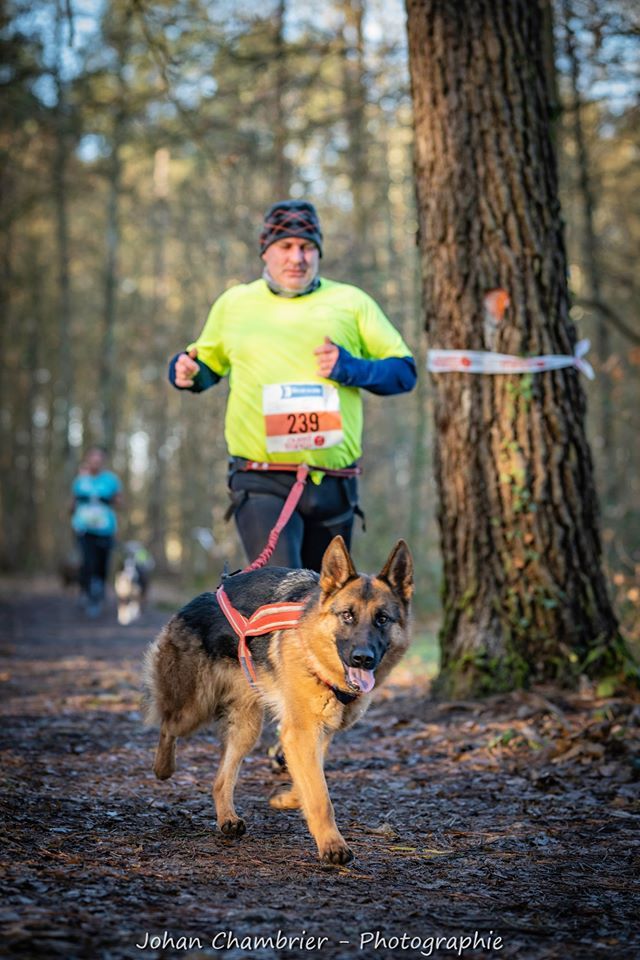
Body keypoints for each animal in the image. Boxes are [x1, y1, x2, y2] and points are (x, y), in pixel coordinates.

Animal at [142, 540, 412, 864]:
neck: (314, 651)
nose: (363, 658)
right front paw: (332, 845)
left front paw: (285, 797)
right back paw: (163, 768)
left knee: (220, 780)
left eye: (382, 619)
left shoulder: (315, 734)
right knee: (168, 725)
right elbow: (321, 796)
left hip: (246, 729)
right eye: (347, 615)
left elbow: (309, 781)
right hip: (194, 707)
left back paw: (227, 818)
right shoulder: (301, 733)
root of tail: (200, 598)